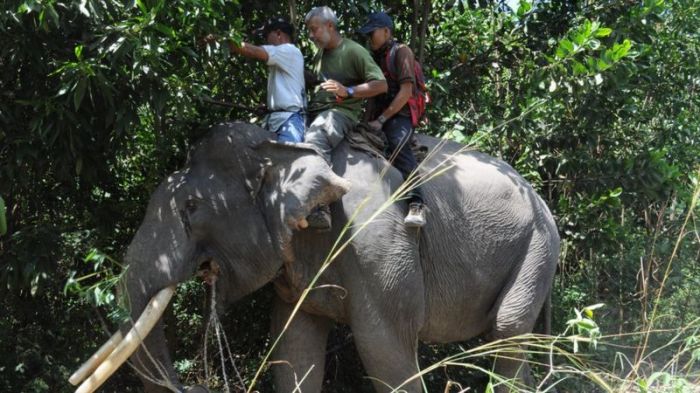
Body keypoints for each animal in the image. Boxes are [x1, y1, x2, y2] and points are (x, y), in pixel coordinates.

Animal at [65, 122, 556, 392]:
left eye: (191, 208)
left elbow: (384, 347)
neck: (282, 146)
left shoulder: (376, 235)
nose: (195, 384)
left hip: (536, 248)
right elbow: (294, 349)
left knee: (507, 334)